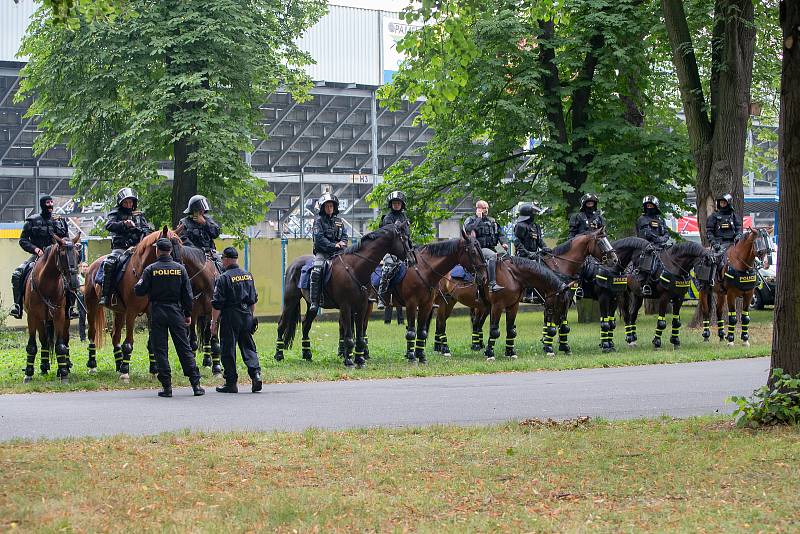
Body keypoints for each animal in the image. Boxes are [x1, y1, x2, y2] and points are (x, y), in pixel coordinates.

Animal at [22, 237, 82, 384]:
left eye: (77, 255)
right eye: (62, 254)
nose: (74, 283)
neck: (46, 284)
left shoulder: (59, 316)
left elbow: (60, 346)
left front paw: (64, 374)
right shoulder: (32, 317)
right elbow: (32, 345)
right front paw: (28, 374)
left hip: (65, 320)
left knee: (65, 342)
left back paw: (65, 366)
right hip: (42, 321)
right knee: (44, 342)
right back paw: (44, 368)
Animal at [85, 226, 184, 382]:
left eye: (181, 246)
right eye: (169, 247)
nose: (181, 269)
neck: (141, 272)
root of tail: (92, 267)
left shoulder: (151, 312)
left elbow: (151, 343)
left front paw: (153, 371)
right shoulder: (131, 312)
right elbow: (128, 343)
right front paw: (125, 372)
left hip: (119, 312)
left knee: (115, 336)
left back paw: (118, 365)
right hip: (91, 307)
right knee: (92, 334)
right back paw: (93, 366)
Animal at [276, 222, 412, 368]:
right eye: (404, 238)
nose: (411, 259)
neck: (355, 268)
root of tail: (293, 265)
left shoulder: (362, 306)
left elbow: (360, 336)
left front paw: (360, 360)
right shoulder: (346, 307)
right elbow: (349, 335)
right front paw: (349, 361)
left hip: (312, 305)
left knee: (306, 325)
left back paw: (307, 355)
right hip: (290, 301)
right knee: (281, 325)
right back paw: (278, 355)